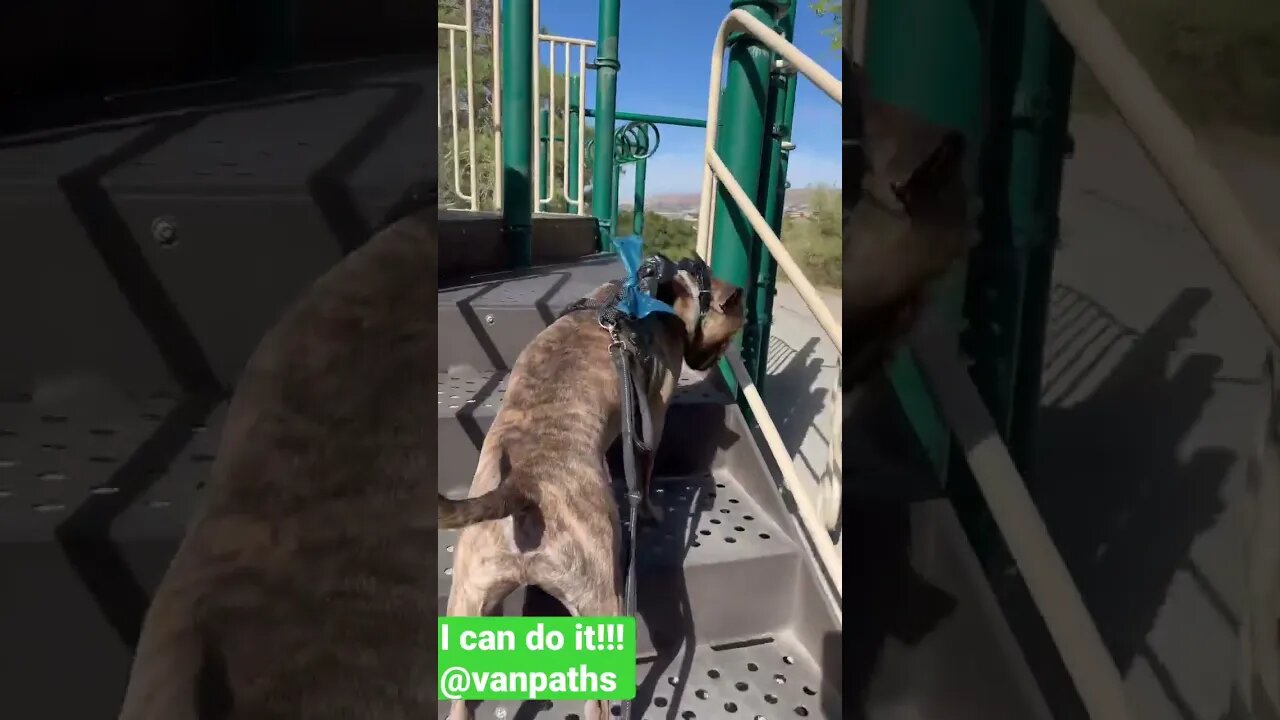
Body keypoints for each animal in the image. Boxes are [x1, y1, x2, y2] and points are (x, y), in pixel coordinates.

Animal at [440, 263, 747, 717]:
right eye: (730, 336)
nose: (712, 362)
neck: (670, 289)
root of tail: (522, 486)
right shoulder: (653, 416)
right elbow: (647, 470)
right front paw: (651, 511)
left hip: (467, 601)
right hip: (603, 600)